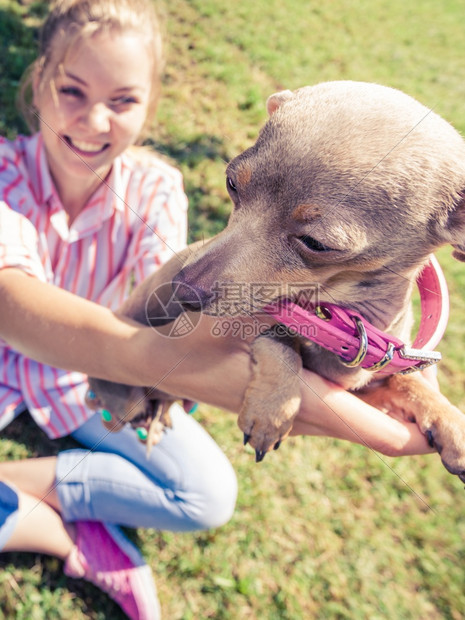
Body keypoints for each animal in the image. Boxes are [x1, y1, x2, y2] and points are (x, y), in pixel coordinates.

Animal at [89, 81, 464, 480]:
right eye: (231, 184)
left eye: (316, 244)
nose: (183, 289)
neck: (346, 323)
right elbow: (281, 343)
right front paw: (273, 409)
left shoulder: (360, 389)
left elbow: (406, 381)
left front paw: (449, 419)